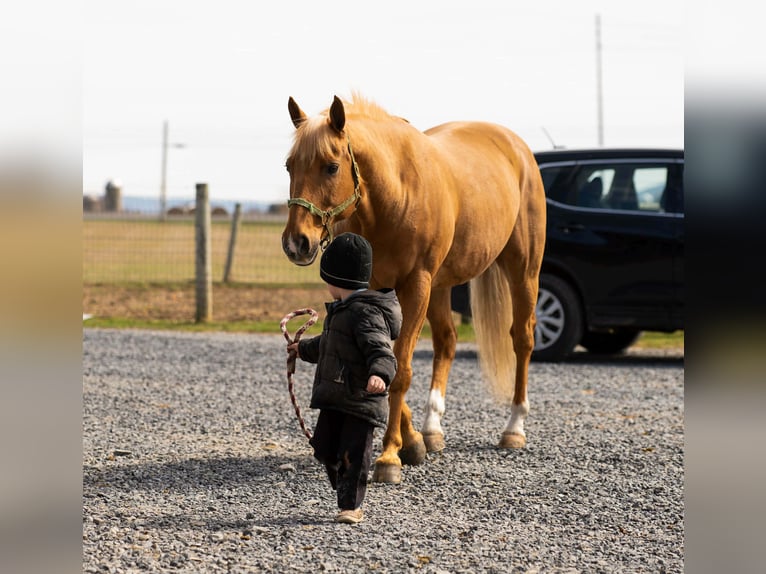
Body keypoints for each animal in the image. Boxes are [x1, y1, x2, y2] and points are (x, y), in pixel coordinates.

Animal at [281, 93, 546, 484]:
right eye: (289, 166)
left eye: (331, 167)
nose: (296, 243)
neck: (396, 194)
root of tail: (517, 148)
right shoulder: (379, 289)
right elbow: (387, 363)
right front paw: (413, 443)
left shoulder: (416, 285)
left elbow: (401, 369)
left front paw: (390, 456)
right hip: (441, 285)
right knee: (447, 342)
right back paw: (432, 430)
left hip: (523, 269)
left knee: (523, 339)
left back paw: (514, 428)